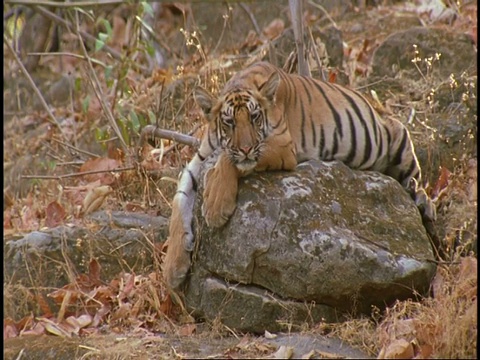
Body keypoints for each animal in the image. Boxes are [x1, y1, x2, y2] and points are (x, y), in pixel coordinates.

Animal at [163, 59, 436, 290]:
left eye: (254, 117)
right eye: (229, 122)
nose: (246, 147)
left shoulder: (282, 145)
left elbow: (228, 160)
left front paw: (216, 206)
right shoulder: (198, 162)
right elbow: (179, 200)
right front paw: (173, 267)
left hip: (399, 137)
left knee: (417, 183)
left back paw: (425, 207)